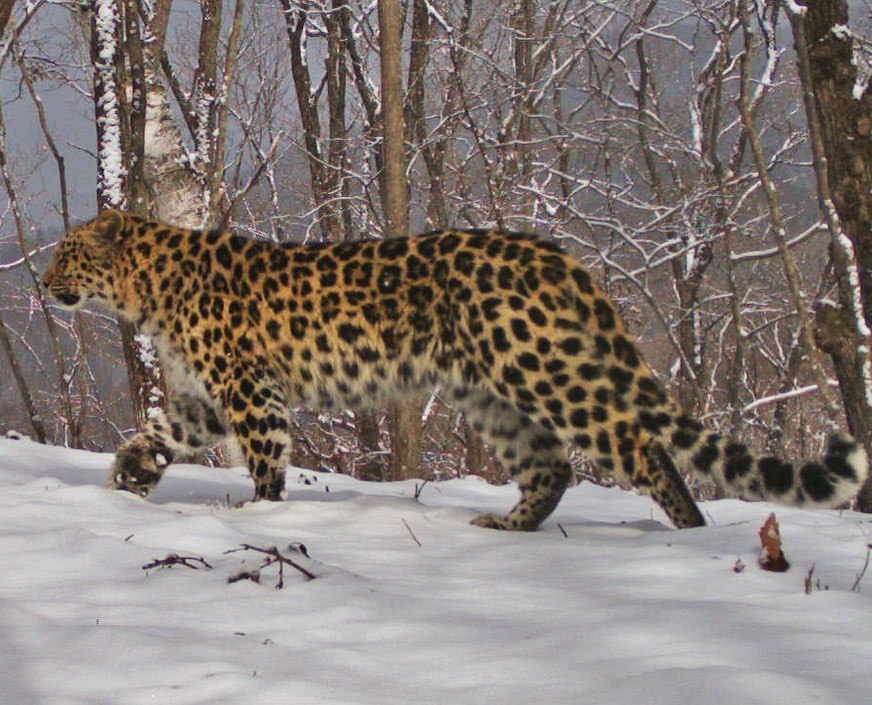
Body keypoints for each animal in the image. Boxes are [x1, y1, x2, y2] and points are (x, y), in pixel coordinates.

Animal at [41, 209, 864, 528]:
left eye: (68, 256)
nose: (43, 284)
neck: (149, 290)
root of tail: (559, 257)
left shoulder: (249, 390)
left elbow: (268, 459)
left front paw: (262, 513)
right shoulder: (207, 400)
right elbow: (159, 432)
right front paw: (128, 478)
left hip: (543, 369)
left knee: (639, 446)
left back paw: (691, 536)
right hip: (493, 392)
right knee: (553, 468)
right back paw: (506, 525)